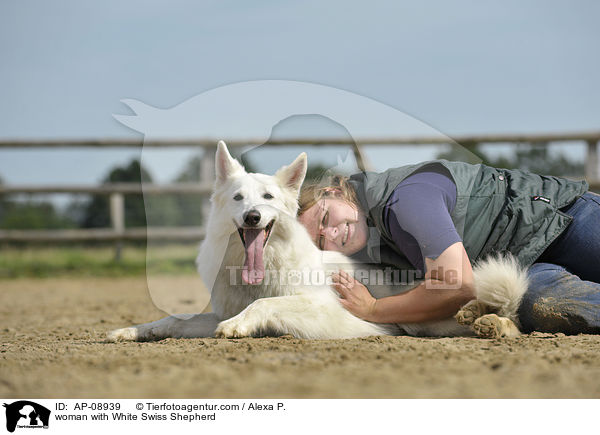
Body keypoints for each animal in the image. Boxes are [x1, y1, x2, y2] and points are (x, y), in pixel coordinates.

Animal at [106, 141, 524, 342]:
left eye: (268, 198)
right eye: (239, 198)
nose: (252, 217)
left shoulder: (321, 309)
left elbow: (266, 304)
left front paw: (240, 325)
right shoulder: (217, 309)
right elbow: (176, 318)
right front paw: (134, 331)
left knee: (511, 314)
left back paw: (491, 322)